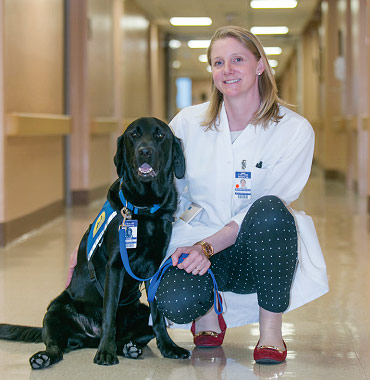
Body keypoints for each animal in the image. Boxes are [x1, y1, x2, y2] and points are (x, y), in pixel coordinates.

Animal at [0, 116, 188, 368]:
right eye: (134, 135)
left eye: (160, 135)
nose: (144, 152)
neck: (144, 207)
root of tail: (90, 336)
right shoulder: (115, 266)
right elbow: (109, 312)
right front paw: (105, 352)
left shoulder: (154, 269)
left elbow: (158, 316)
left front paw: (169, 347)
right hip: (54, 310)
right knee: (56, 346)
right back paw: (47, 357)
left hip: (139, 313)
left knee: (128, 336)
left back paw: (130, 348)